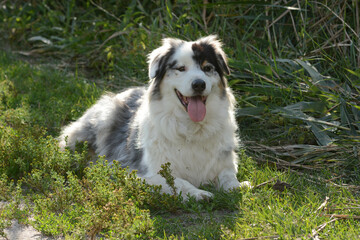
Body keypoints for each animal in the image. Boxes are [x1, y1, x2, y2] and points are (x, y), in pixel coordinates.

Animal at [59, 35, 250, 201]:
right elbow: (178, 181)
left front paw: (238, 186)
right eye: (181, 68)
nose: (199, 84)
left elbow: (229, 178)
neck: (192, 127)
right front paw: (199, 193)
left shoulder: (224, 163)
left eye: (207, 68)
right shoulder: (144, 173)